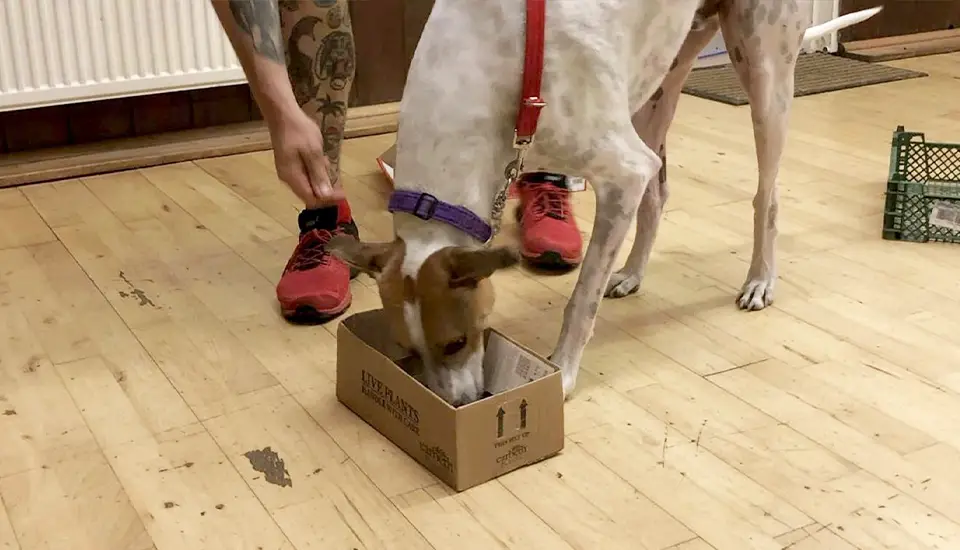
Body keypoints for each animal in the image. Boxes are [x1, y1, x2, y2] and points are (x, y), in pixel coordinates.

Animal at [332, 0, 884, 406]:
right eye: (407, 351)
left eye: (456, 342)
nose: (462, 407)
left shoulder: (622, 172)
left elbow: (581, 300)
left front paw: (562, 374)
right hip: (659, 78)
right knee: (658, 192)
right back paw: (633, 272)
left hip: (763, 72)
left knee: (765, 196)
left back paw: (760, 279)